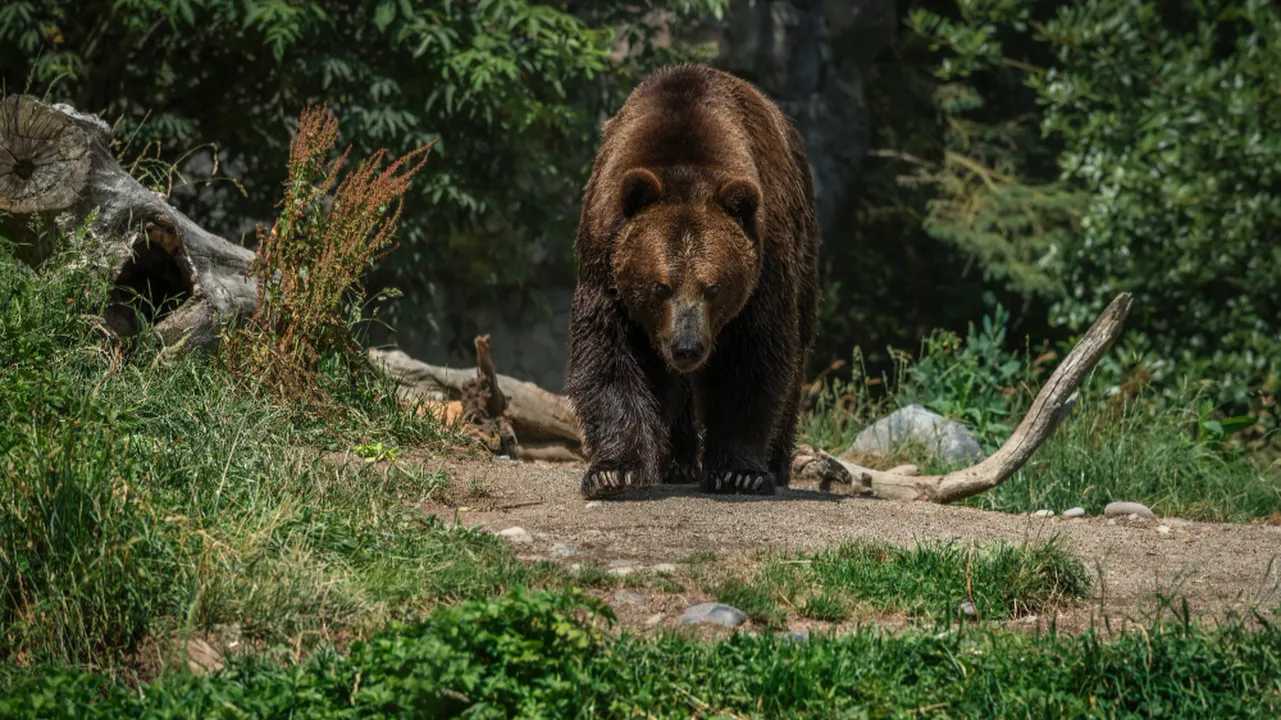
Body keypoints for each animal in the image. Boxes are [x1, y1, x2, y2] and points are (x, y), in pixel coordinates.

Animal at [566, 64, 814, 497]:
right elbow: (609, 353)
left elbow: (753, 359)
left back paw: (775, 464)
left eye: (713, 287)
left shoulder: (766, 265)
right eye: (660, 286)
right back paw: (676, 462)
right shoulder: (605, 257)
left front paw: (739, 472)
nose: (687, 347)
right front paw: (615, 471)